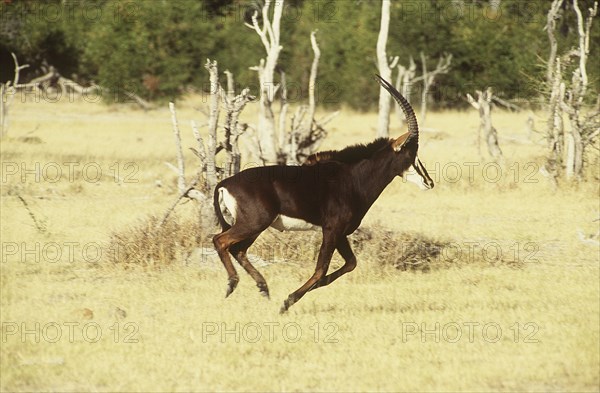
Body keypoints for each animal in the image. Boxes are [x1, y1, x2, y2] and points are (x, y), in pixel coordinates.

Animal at [213, 74, 434, 312]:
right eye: (411, 154)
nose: (429, 182)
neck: (353, 178)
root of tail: (225, 183)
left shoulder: (341, 232)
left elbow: (350, 263)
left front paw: (308, 290)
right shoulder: (332, 229)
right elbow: (321, 268)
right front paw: (288, 301)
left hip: (255, 227)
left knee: (238, 249)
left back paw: (263, 287)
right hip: (254, 223)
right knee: (221, 240)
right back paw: (232, 284)